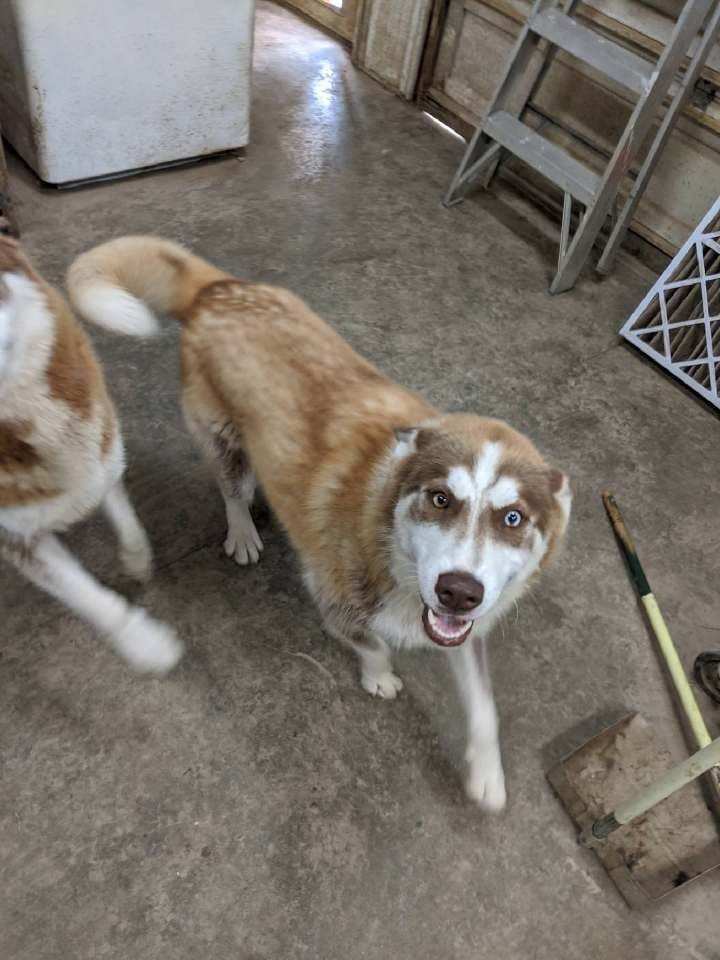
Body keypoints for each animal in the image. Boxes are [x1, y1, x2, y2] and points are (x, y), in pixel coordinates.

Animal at [0, 238, 183, 676]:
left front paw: (137, 560)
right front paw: (144, 641)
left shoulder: (101, 447)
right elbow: (87, 596)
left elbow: (125, 518)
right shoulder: (20, 538)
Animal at [70, 234, 572, 808]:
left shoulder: (466, 630)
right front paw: (379, 676)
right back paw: (243, 529)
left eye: (512, 517)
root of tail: (220, 289)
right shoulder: (334, 596)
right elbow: (373, 643)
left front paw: (486, 772)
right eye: (441, 499)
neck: (391, 545)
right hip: (221, 438)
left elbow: (485, 708)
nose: (459, 591)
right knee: (231, 488)